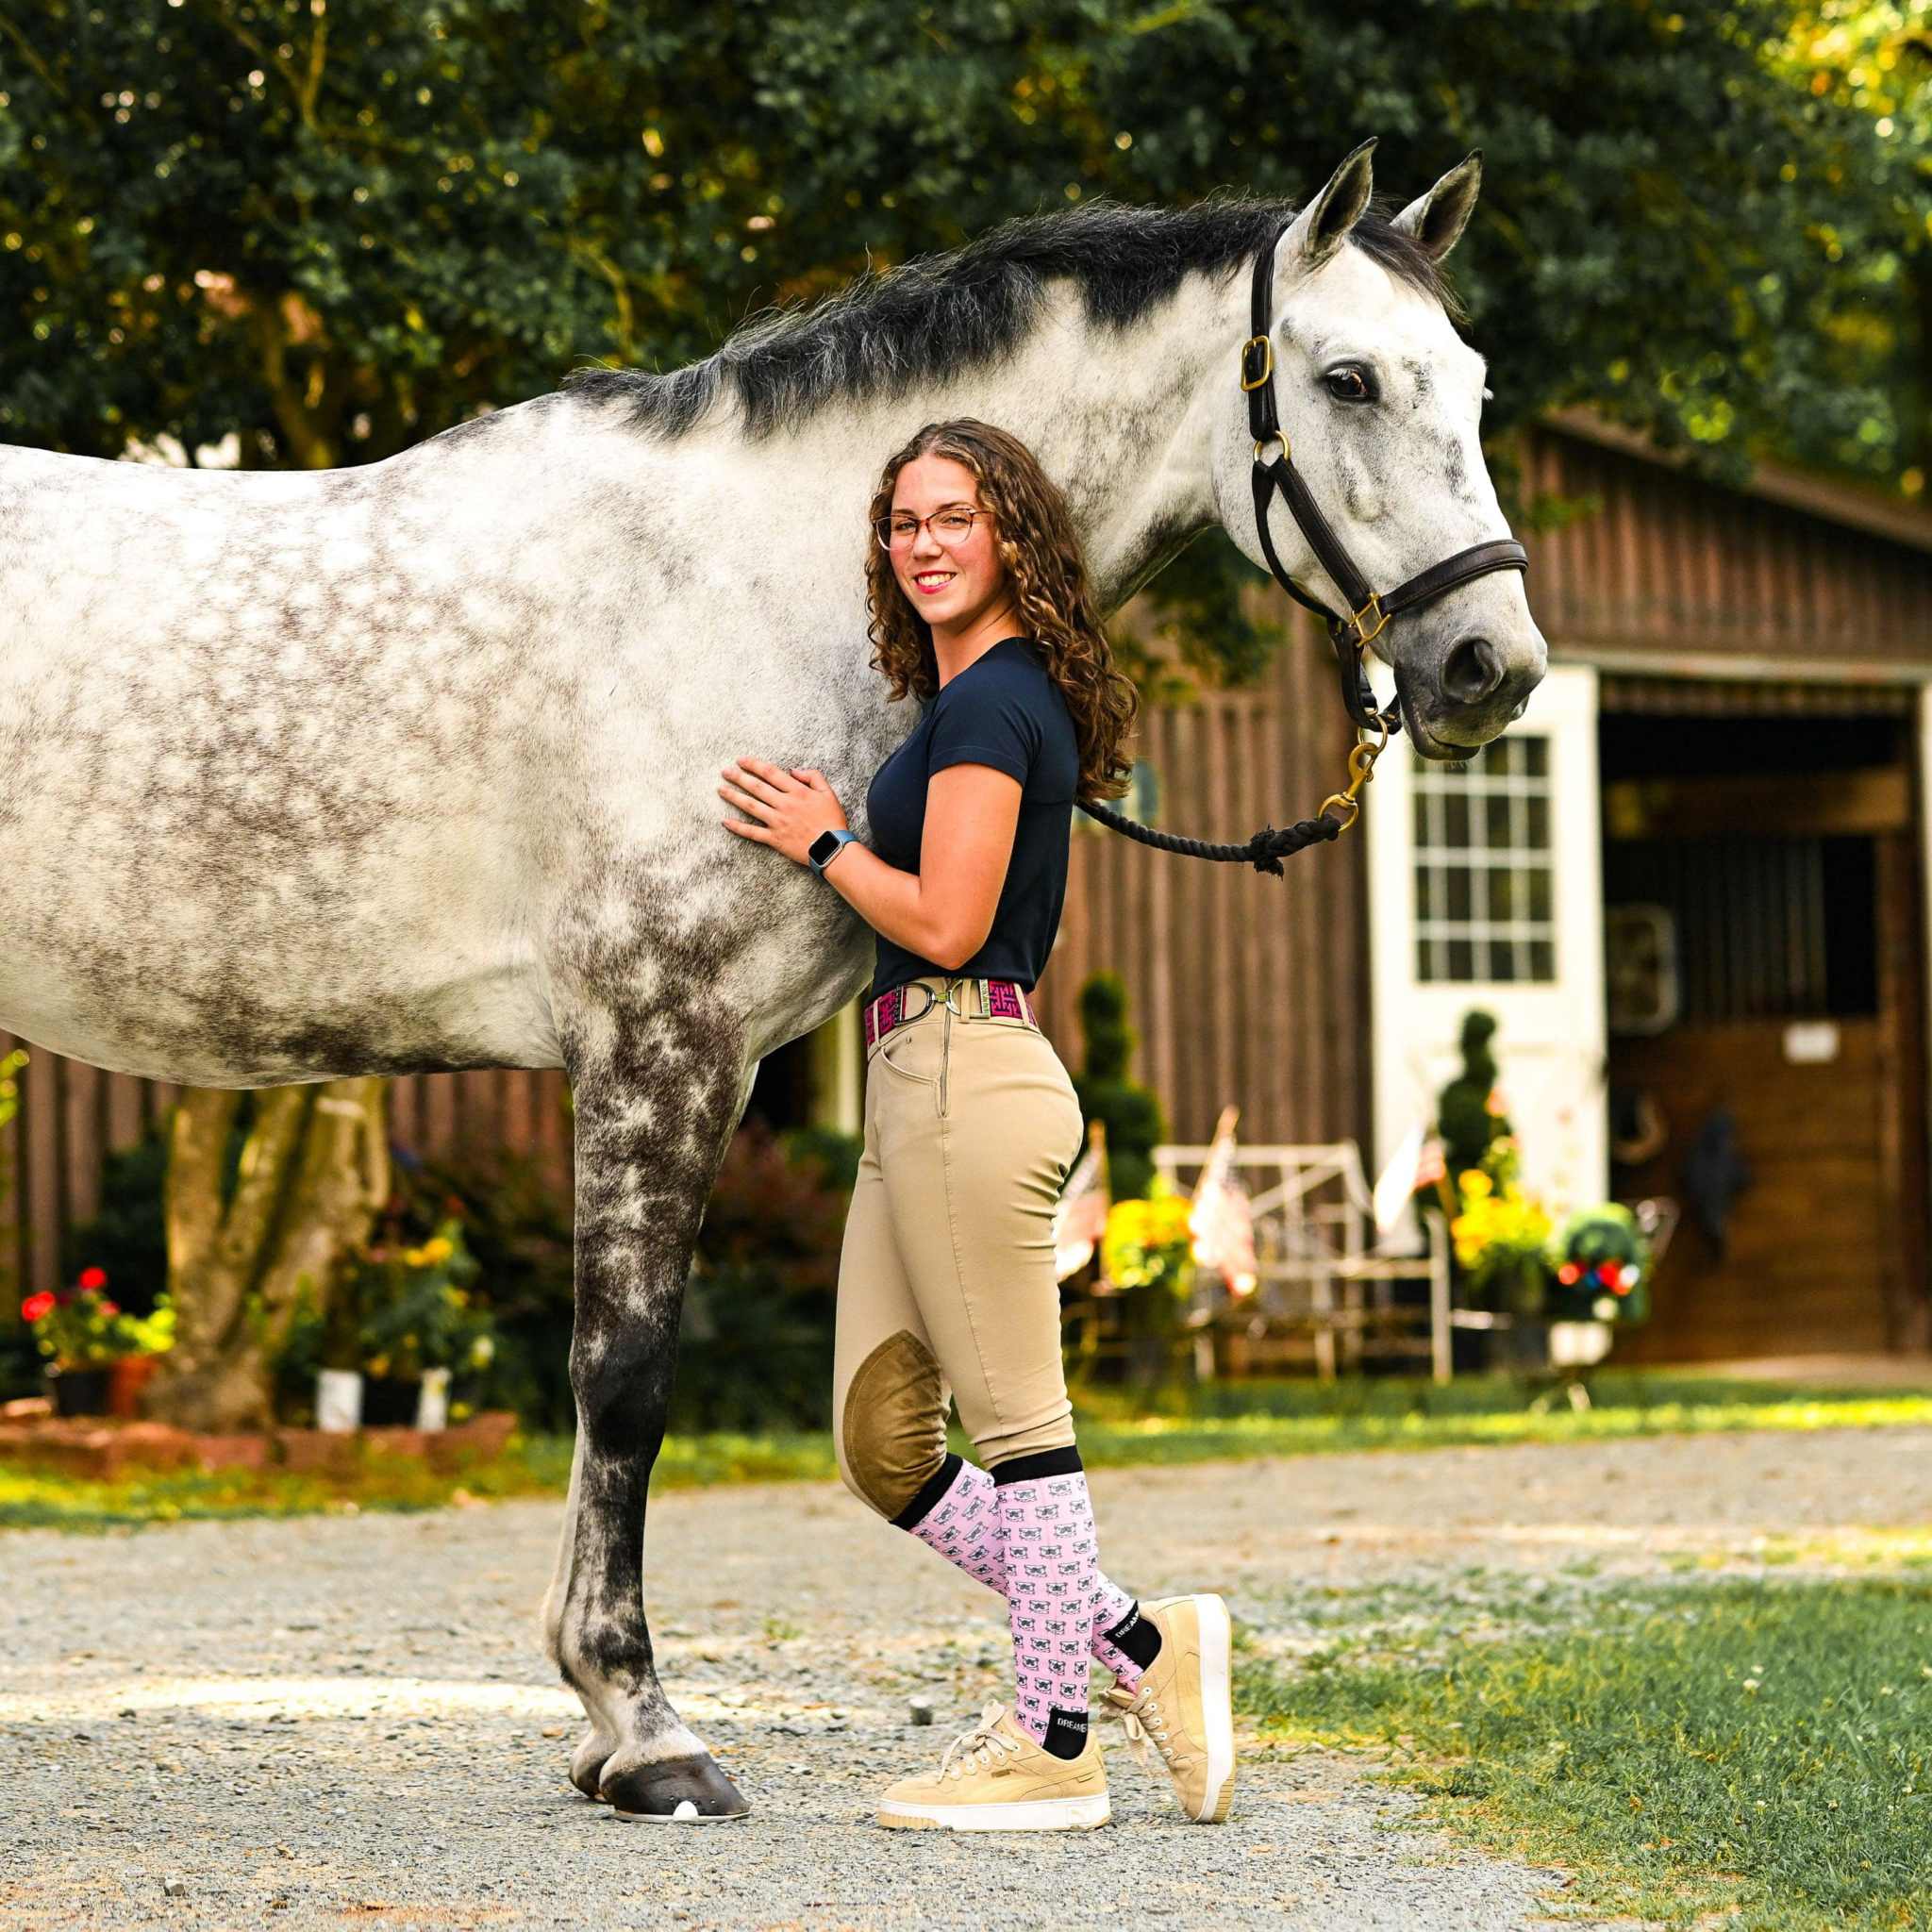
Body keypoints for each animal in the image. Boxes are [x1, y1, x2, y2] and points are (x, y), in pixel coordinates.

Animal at [0, 139, 1543, 1820]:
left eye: (1475, 383)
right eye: (1347, 379)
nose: (1494, 667)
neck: (736, 588)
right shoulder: (660, 1044)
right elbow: (625, 1378)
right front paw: (644, 1728)